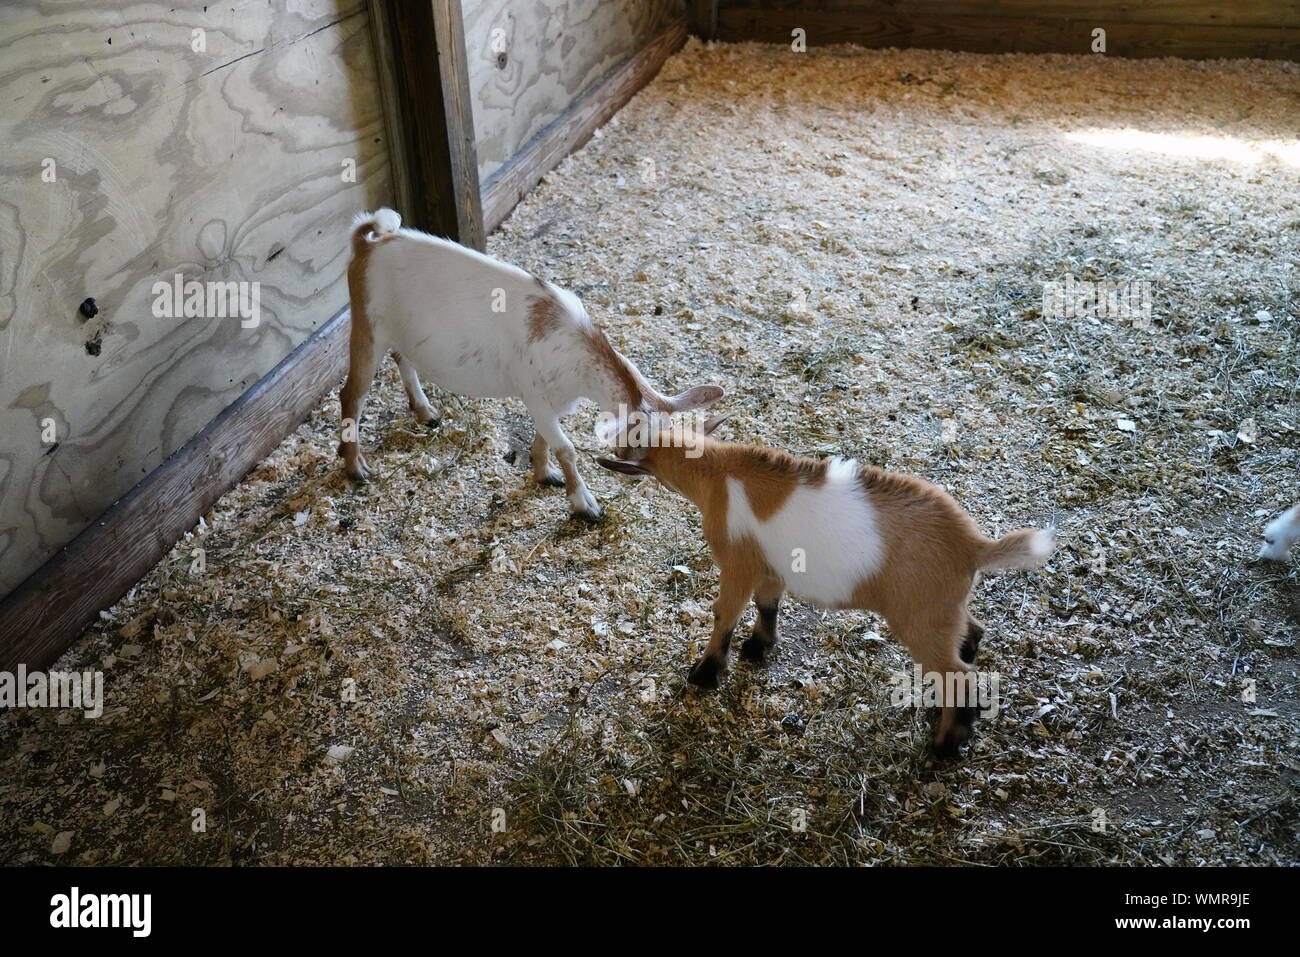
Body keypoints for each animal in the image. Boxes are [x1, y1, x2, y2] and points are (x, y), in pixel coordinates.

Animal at [341, 209, 723, 519]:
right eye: (640, 443)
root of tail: (368, 242)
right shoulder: (536, 395)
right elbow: (566, 448)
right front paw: (584, 504)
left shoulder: (552, 400)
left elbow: (545, 439)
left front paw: (544, 474)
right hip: (367, 327)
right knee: (352, 394)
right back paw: (356, 467)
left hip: (399, 332)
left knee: (402, 358)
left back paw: (424, 411)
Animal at [598, 420, 1056, 757]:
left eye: (635, 441)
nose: (610, 451)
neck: (716, 472)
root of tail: (973, 545)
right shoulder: (770, 565)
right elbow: (767, 603)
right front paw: (758, 648)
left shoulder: (738, 563)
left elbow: (724, 613)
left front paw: (705, 673)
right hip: (945, 606)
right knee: (971, 635)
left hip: (921, 617)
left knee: (959, 676)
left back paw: (944, 746)